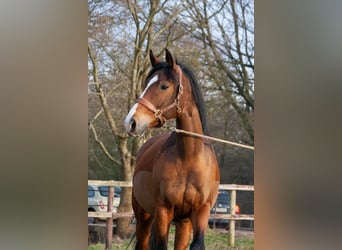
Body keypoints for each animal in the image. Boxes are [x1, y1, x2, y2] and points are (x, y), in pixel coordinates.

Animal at [125, 49, 219, 250]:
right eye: (145, 84)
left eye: (164, 86)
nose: (131, 122)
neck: (190, 157)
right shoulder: (163, 210)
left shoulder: (200, 212)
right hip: (144, 217)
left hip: (183, 223)